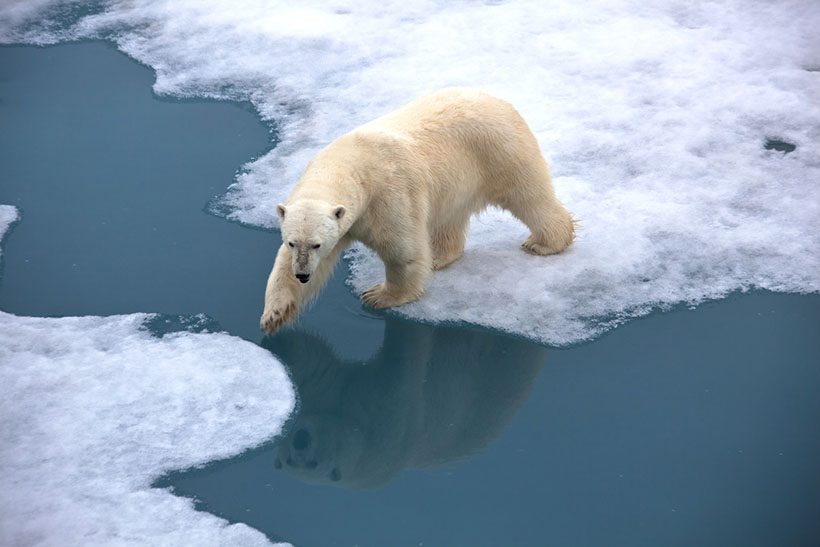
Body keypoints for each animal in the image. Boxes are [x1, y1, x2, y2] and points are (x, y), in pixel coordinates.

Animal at [260, 88, 572, 334]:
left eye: (316, 243)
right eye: (293, 242)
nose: (302, 275)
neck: (351, 165)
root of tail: (499, 100)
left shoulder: (387, 196)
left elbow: (402, 250)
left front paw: (378, 295)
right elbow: (283, 264)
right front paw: (274, 314)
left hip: (499, 152)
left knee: (529, 196)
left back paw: (544, 243)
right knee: (448, 220)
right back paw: (438, 257)